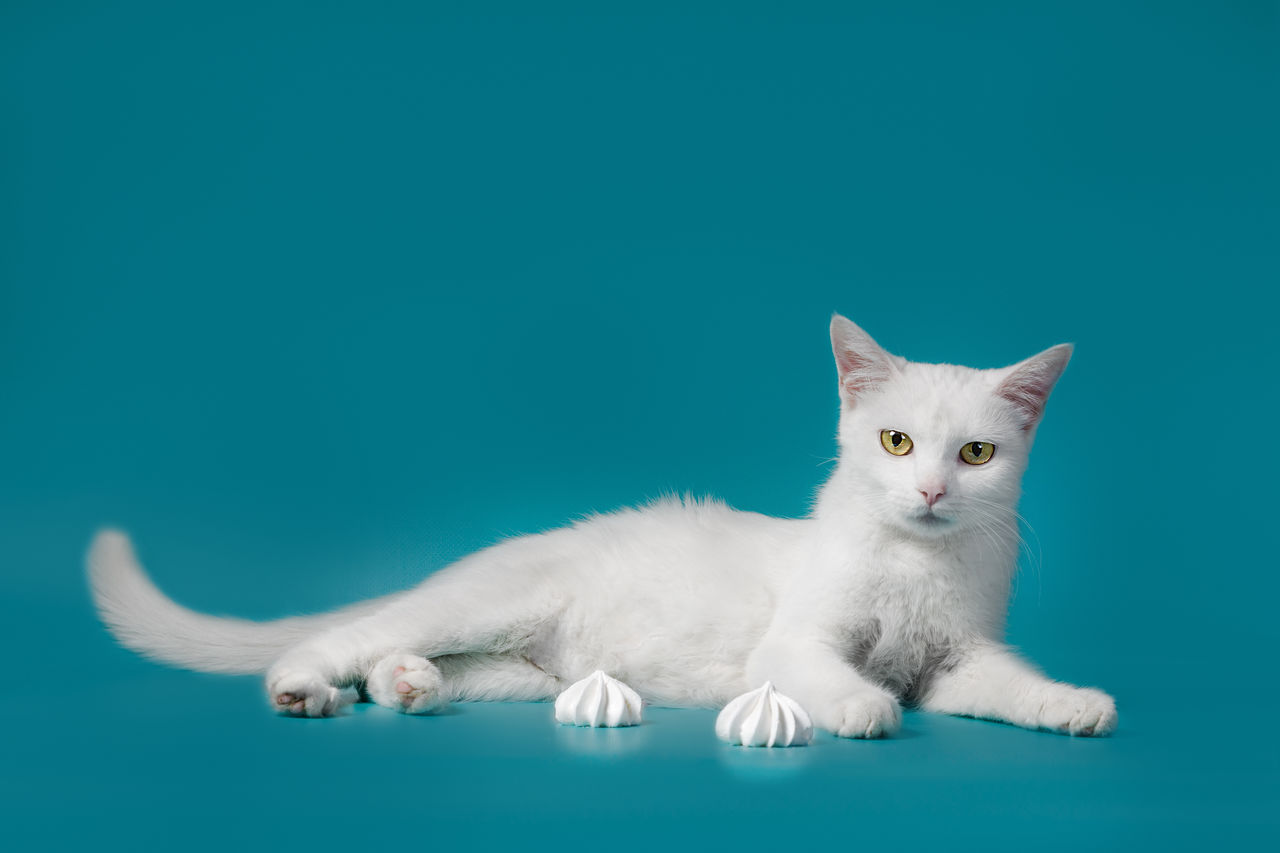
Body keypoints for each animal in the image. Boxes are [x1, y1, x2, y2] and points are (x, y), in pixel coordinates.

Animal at [85, 315, 1116, 732]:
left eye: (975, 455)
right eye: (896, 442)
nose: (932, 492)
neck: (915, 564)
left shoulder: (959, 661)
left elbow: (1006, 686)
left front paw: (1071, 704)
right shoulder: (794, 645)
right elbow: (833, 676)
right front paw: (866, 706)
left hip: (523, 671)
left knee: (395, 659)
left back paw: (409, 687)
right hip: (485, 608)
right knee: (347, 636)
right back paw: (304, 686)